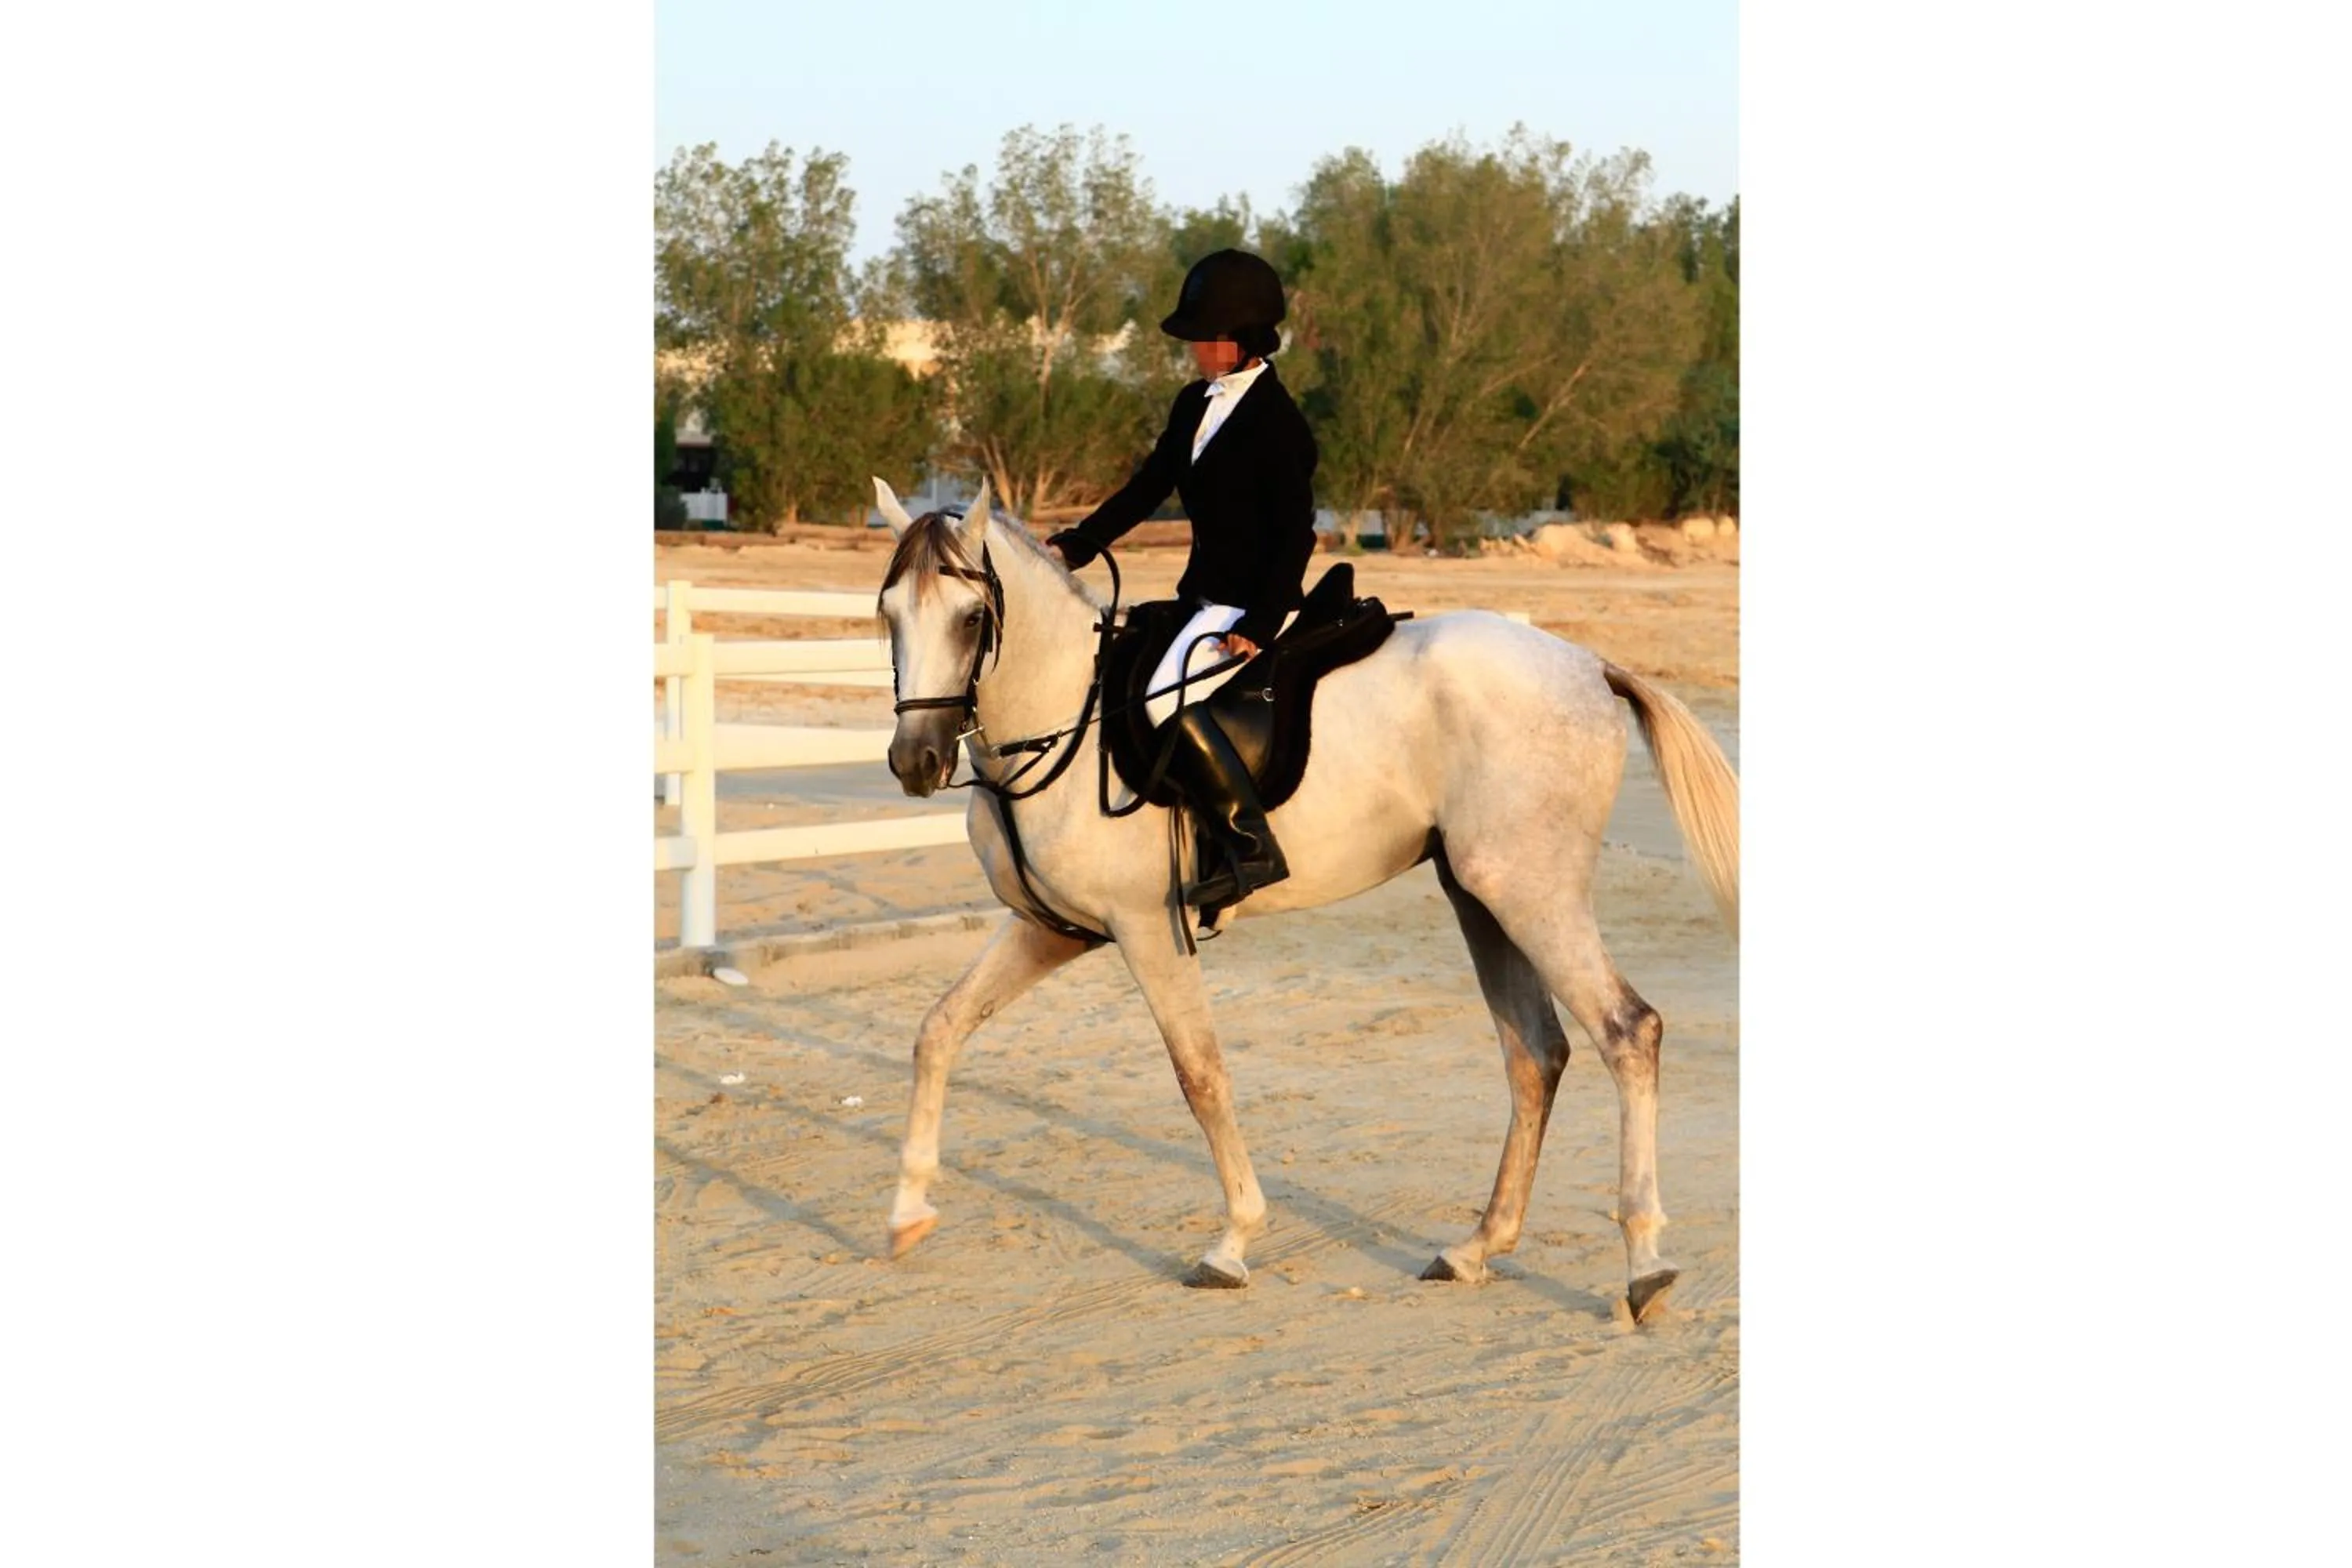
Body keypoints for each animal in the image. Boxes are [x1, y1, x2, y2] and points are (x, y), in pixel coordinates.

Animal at [868, 476, 1738, 1320]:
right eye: (888, 615)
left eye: (972, 617)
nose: (917, 762)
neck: (1070, 716)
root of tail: (1589, 665)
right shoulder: (1055, 928)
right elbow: (938, 1029)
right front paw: (907, 1211)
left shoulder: (1147, 929)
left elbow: (1201, 1074)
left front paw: (1233, 1241)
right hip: (1482, 895)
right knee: (1536, 1053)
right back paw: (1477, 1247)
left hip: (1531, 889)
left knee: (1628, 1031)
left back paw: (1645, 1263)